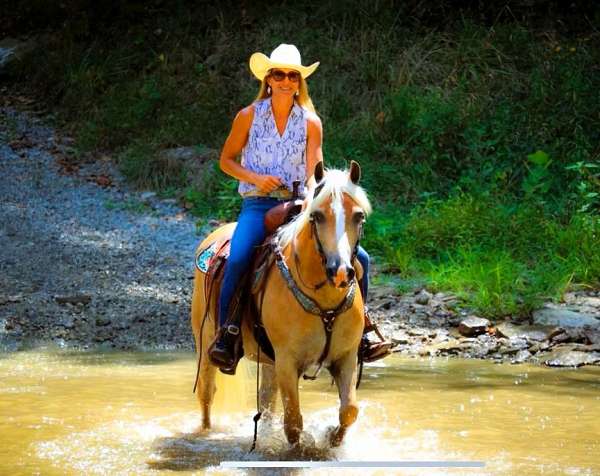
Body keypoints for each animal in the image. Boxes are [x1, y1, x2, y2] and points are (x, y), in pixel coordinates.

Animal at [192, 160, 370, 446]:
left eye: (359, 216)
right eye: (317, 216)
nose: (340, 271)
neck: (324, 305)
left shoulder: (346, 357)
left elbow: (349, 411)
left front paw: (333, 439)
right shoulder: (287, 361)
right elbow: (294, 423)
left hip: (268, 361)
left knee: (266, 400)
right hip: (206, 343)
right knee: (207, 395)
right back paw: (206, 434)